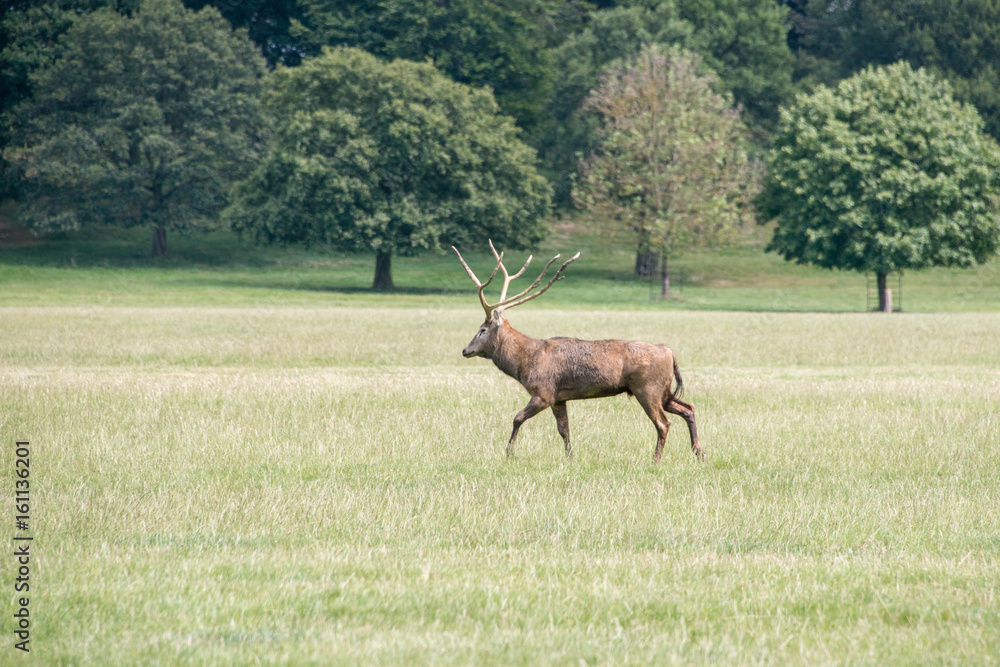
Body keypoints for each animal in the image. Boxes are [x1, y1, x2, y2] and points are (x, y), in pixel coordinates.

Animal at [453, 240, 704, 464]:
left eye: (482, 330)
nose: (465, 350)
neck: (525, 363)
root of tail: (669, 352)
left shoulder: (543, 392)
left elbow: (517, 418)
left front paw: (509, 453)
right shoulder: (559, 398)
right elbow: (564, 430)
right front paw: (571, 457)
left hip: (647, 388)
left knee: (664, 423)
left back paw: (656, 460)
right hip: (663, 390)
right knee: (688, 408)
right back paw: (699, 452)